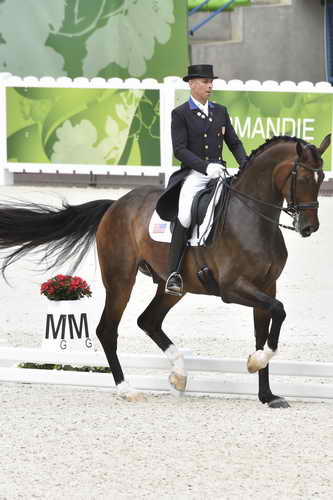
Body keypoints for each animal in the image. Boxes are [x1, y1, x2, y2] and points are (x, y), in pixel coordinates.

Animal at [0, 135, 328, 408]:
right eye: (301, 176)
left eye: (322, 177)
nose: (309, 227)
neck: (252, 218)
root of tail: (115, 205)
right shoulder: (233, 288)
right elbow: (279, 311)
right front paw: (255, 363)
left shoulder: (266, 286)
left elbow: (266, 329)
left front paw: (266, 392)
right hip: (120, 280)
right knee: (108, 329)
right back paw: (127, 389)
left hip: (173, 287)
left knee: (148, 321)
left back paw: (179, 376)